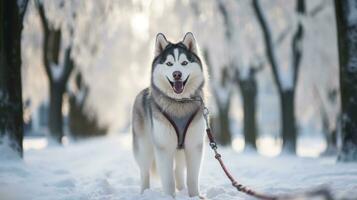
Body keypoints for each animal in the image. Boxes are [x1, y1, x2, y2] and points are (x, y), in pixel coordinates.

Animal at [131, 32, 206, 197]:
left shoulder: (194, 145)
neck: (179, 103)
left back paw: (181, 189)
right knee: (144, 171)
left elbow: (192, 178)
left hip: (180, 149)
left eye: (184, 63)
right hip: (144, 146)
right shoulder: (164, 147)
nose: (177, 74)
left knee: (178, 170)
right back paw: (144, 192)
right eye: (169, 64)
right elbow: (168, 180)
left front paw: (195, 196)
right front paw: (170, 196)